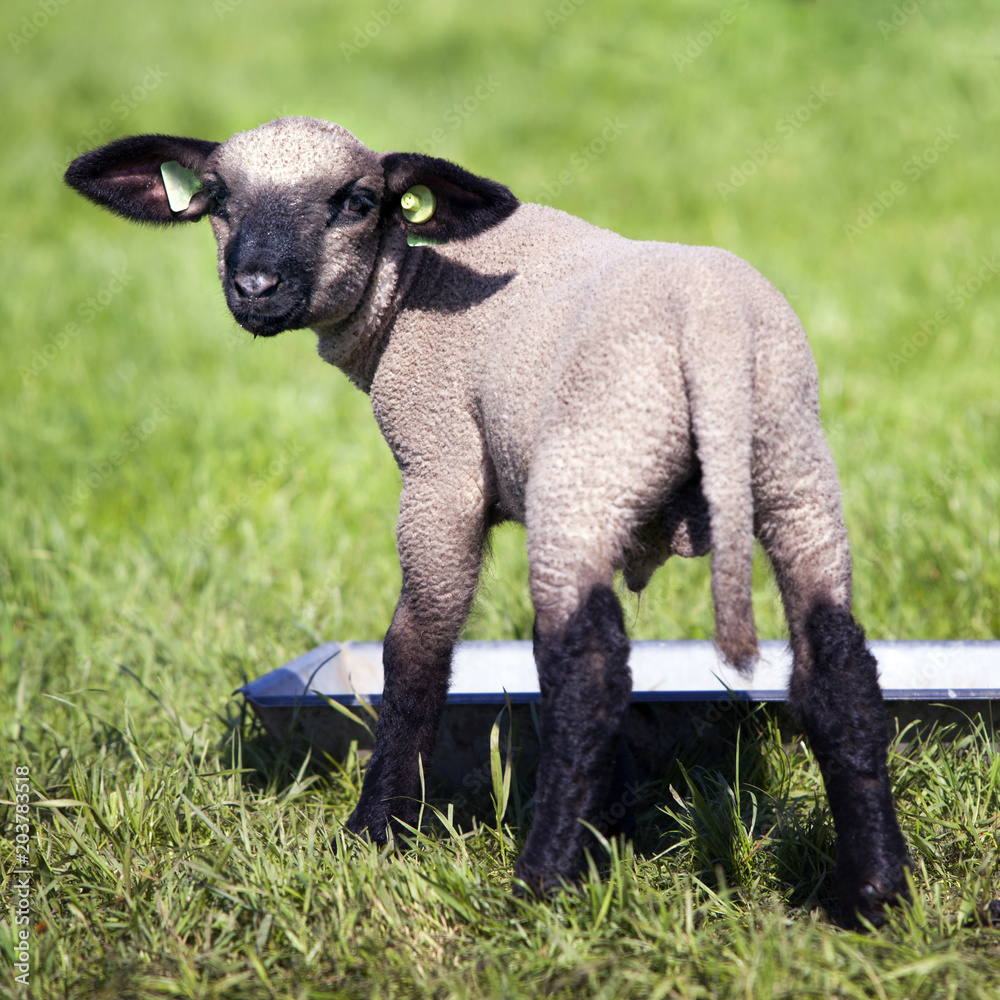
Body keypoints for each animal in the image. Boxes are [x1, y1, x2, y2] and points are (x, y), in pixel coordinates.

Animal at [60, 119, 908, 928]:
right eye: (217, 197)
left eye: (356, 202)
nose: (256, 286)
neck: (412, 298)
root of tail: (715, 335)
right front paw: (615, 827)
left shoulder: (441, 471)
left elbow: (417, 649)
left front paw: (378, 831)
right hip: (791, 463)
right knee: (835, 665)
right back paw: (871, 894)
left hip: (590, 470)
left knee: (587, 674)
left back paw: (541, 881)